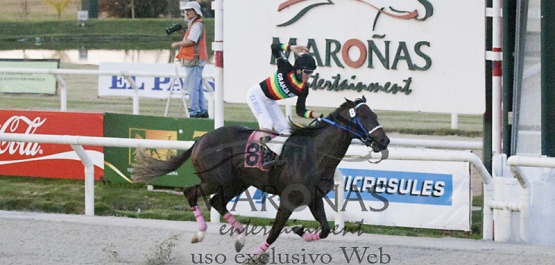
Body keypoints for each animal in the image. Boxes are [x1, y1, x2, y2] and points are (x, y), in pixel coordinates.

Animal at [132, 96, 388, 262]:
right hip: (215, 180)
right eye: (363, 116)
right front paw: (254, 257)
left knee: (216, 202)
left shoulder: (314, 198)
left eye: (375, 114)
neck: (314, 153)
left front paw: (300, 232)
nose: (384, 141)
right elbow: (274, 232)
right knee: (190, 192)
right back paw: (201, 233)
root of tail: (201, 139)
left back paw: (239, 238)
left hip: (237, 183)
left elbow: (325, 230)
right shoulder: (289, 199)